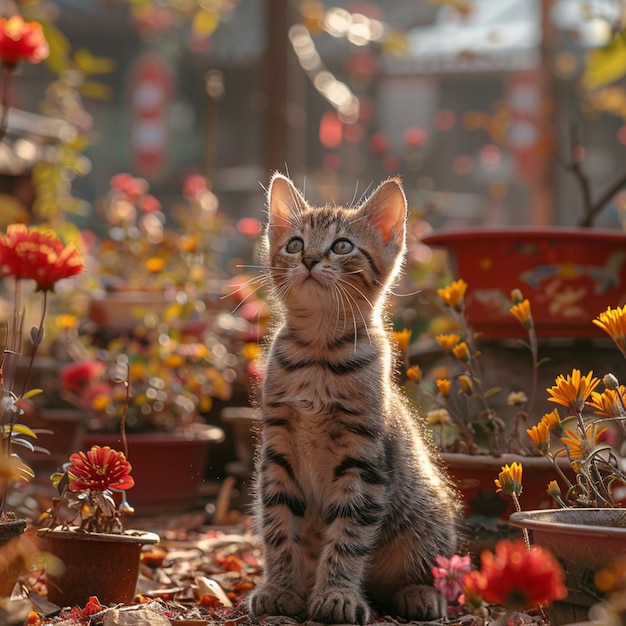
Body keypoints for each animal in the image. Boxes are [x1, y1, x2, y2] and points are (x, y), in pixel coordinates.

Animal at [246, 173, 460, 620]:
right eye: (294, 244)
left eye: (342, 246)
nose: (310, 259)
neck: (318, 355)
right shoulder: (278, 451)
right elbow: (278, 524)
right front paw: (281, 587)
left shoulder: (364, 462)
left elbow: (348, 536)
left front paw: (336, 595)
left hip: (428, 513)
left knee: (432, 567)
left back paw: (420, 594)